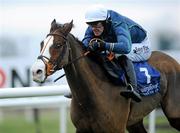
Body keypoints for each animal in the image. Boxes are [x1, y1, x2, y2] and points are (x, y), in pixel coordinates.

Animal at [31, 19, 180, 132]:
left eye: (58, 45)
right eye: (42, 43)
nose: (36, 71)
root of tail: (173, 60)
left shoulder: (116, 129)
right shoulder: (82, 129)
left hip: (174, 114)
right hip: (134, 122)